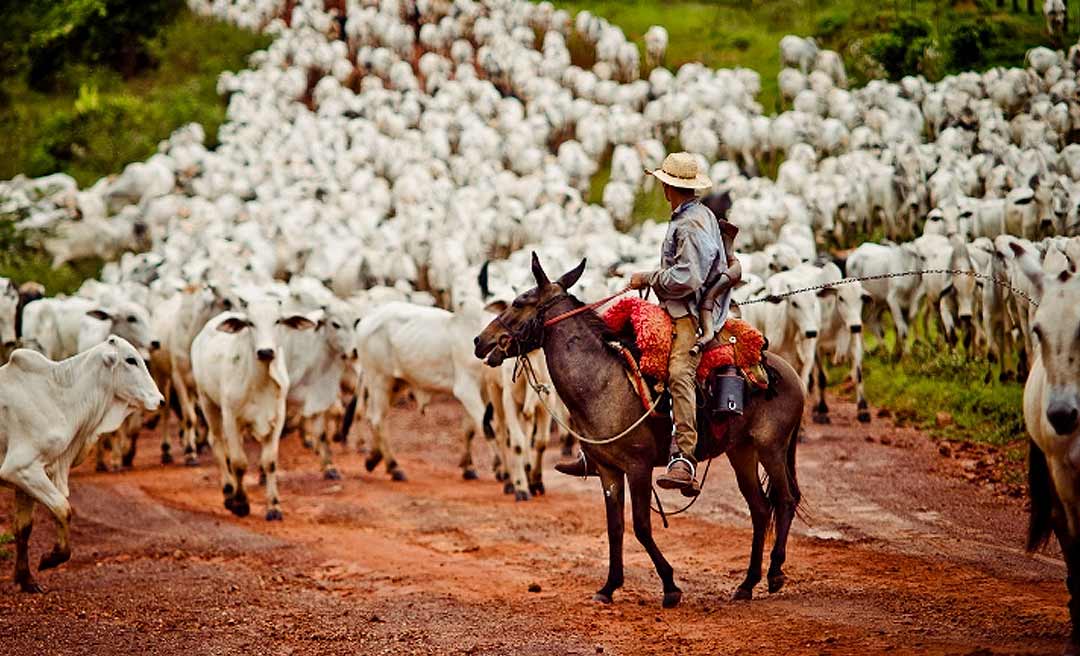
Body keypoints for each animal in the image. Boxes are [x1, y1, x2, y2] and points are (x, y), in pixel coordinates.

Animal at [0, 341, 162, 592]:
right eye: (130, 360)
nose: (160, 400)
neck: (58, 397)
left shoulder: (25, 478)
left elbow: (23, 528)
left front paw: (26, 579)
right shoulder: (20, 469)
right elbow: (63, 509)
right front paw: (51, 558)